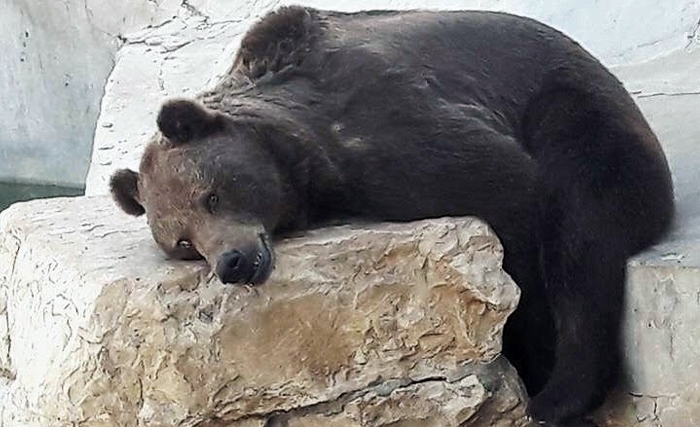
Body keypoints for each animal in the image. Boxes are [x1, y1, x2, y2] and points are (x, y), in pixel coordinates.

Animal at [109, 6, 672, 427]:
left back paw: (557, 397)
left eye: (210, 197)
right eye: (183, 242)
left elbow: (508, 190)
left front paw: (531, 356)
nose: (232, 261)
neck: (299, 158)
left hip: (575, 113)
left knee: (582, 233)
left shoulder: (386, 134)